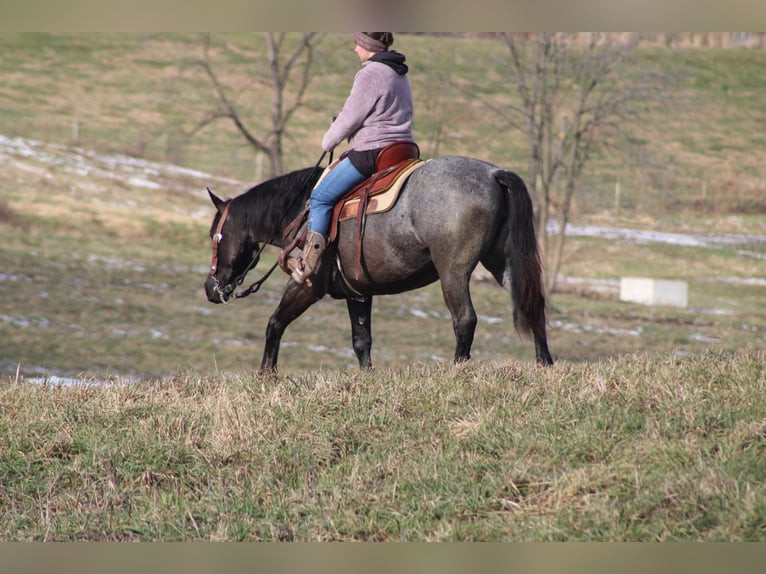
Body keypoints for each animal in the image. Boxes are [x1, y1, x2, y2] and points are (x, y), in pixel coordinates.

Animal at [204, 155, 553, 372]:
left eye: (215, 236)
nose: (210, 288)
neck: (300, 210)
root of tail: (494, 174)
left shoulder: (306, 286)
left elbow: (275, 323)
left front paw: (267, 373)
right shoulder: (358, 294)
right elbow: (362, 342)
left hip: (453, 272)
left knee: (465, 319)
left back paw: (459, 367)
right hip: (503, 264)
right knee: (532, 305)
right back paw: (544, 362)